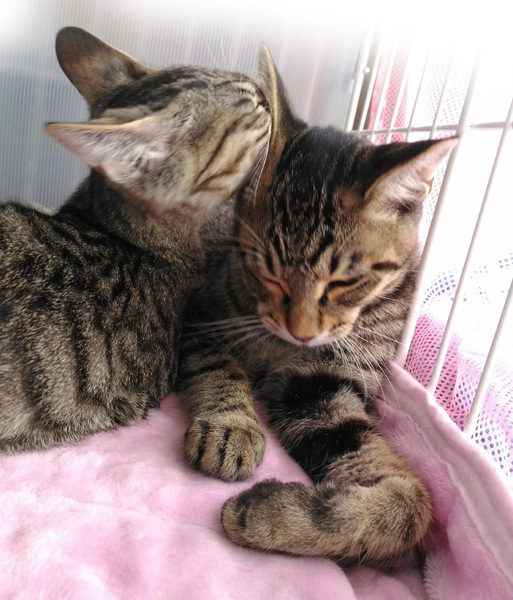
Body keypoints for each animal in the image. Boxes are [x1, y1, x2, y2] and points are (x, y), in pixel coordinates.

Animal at [177, 45, 457, 562]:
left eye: (345, 281)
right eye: (266, 270)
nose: (300, 332)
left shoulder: (324, 381)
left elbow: (411, 504)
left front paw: (273, 517)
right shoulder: (201, 316)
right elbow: (218, 366)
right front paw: (231, 426)